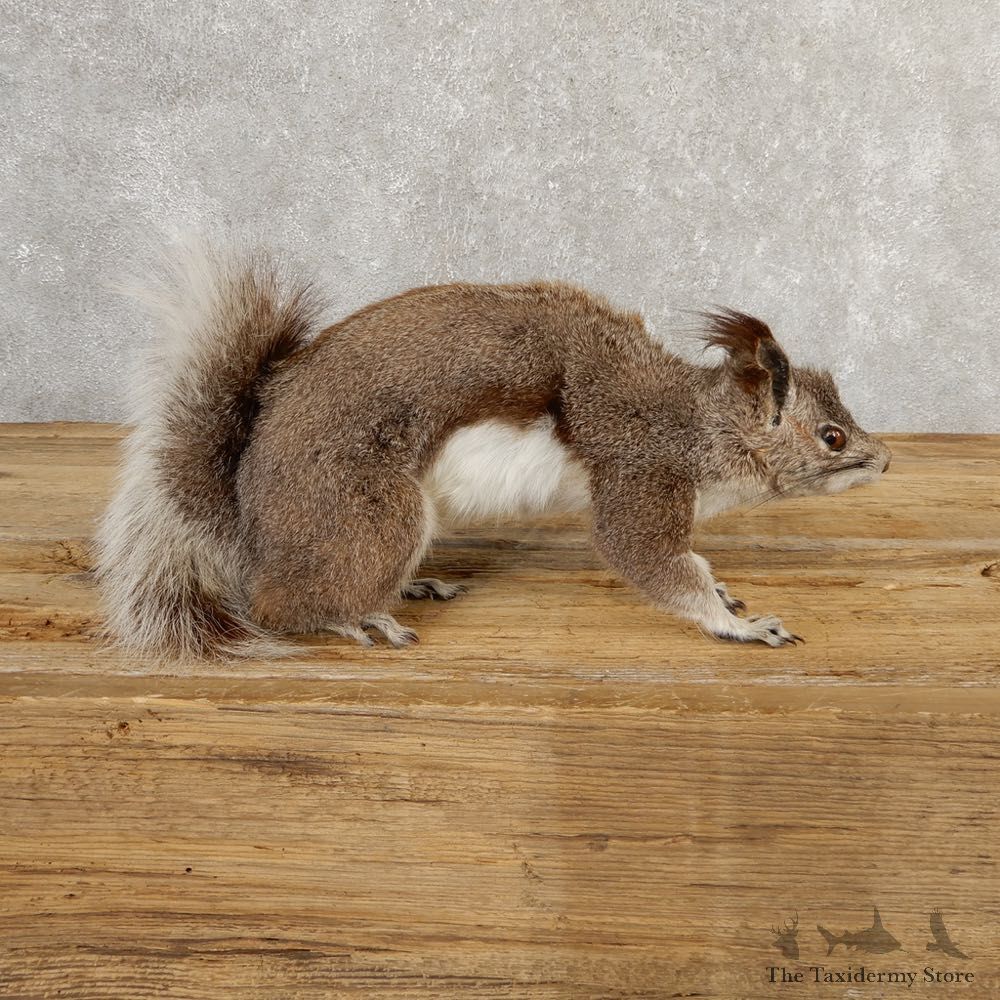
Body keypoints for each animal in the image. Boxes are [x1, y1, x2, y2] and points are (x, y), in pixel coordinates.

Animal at [96, 242, 891, 660]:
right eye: (831, 435)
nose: (884, 460)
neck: (699, 422)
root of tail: (250, 512)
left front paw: (726, 591)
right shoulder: (638, 465)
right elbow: (653, 558)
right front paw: (739, 624)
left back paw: (409, 587)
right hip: (369, 514)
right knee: (280, 604)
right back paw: (357, 616)